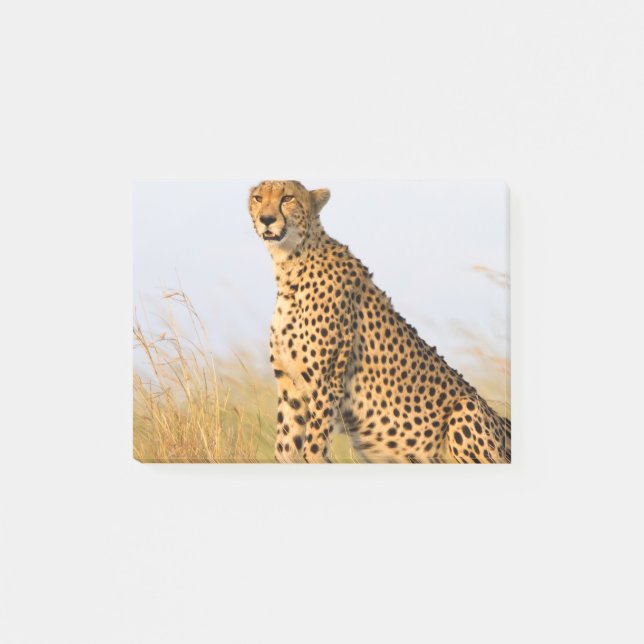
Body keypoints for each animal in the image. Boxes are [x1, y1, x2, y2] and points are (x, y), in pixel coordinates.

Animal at [247, 180, 511, 464]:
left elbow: (314, 449)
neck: (290, 265)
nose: (266, 219)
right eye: (258, 198)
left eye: (287, 198)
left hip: (466, 409)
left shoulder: (326, 382)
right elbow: (285, 448)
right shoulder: (290, 386)